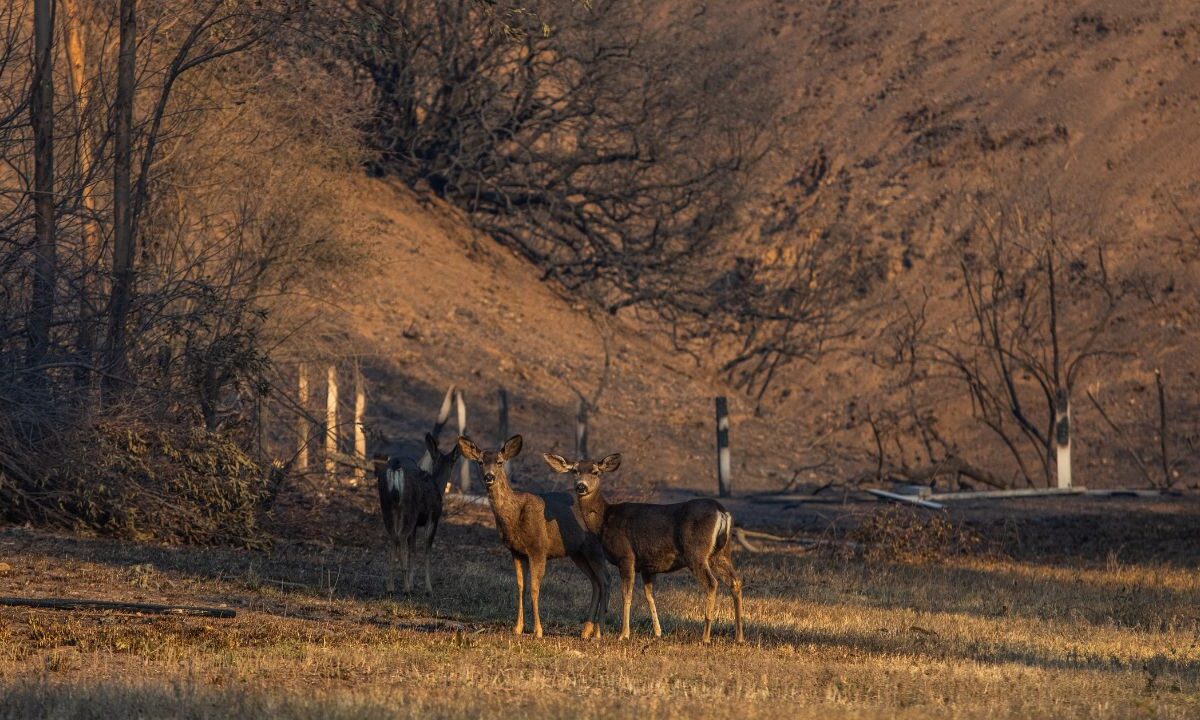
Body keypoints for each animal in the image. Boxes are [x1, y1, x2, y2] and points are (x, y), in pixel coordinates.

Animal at [456, 436, 609, 638]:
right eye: (480, 462)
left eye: (500, 462)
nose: (489, 477)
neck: (514, 516)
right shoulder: (516, 551)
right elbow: (520, 587)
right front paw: (517, 628)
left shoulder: (539, 548)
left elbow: (535, 588)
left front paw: (538, 630)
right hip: (578, 553)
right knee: (596, 582)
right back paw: (586, 631)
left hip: (594, 548)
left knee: (605, 580)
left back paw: (598, 632)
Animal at [542, 453, 739, 643]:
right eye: (574, 471)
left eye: (595, 472)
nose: (581, 486)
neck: (604, 520)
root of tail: (722, 512)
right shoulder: (647, 566)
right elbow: (649, 595)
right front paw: (658, 632)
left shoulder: (626, 556)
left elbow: (626, 594)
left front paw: (624, 634)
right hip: (721, 553)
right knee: (735, 581)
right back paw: (739, 637)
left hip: (696, 552)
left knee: (712, 583)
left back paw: (706, 637)